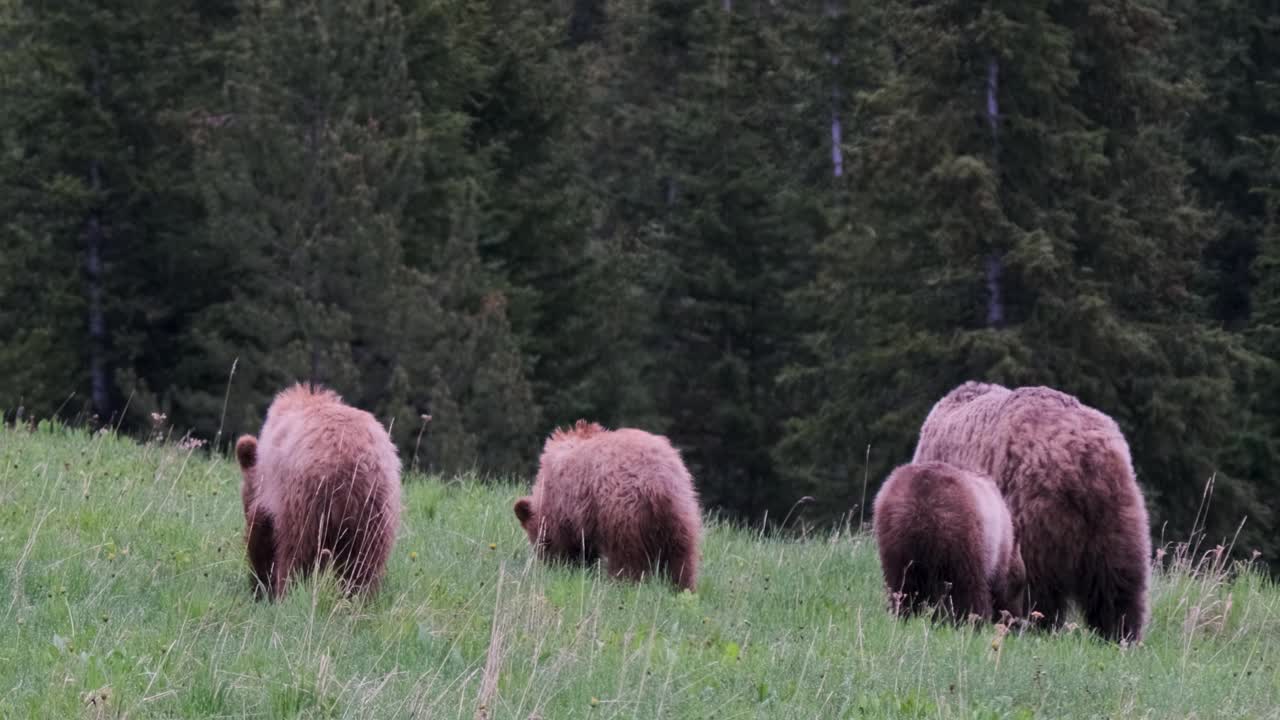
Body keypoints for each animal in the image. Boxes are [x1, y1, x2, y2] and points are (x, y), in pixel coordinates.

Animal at [235, 384, 399, 597]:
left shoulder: (273, 493)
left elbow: (262, 537)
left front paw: (262, 583)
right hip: (374, 510)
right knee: (363, 565)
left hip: (307, 504)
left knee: (296, 553)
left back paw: (287, 591)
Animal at [514, 420, 706, 589]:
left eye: (539, 541)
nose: (548, 565)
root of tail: (658, 483)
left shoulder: (568, 507)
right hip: (683, 510)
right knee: (681, 557)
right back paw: (681, 587)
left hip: (622, 511)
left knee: (627, 557)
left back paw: (621, 583)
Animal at [875, 458, 1024, 622]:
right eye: (1020, 586)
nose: (1017, 620)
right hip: (961, 534)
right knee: (968, 587)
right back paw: (973, 619)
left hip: (894, 535)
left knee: (901, 583)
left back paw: (903, 613)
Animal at [911, 381, 1152, 638]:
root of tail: (1084, 458)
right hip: (1117, 514)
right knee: (1119, 582)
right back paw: (1119, 633)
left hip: (1034, 510)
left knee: (1034, 584)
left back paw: (1030, 624)